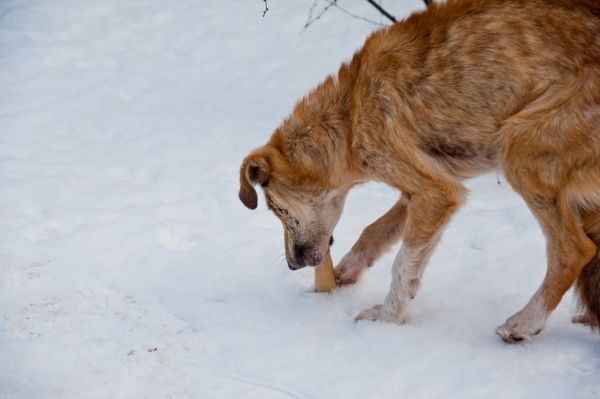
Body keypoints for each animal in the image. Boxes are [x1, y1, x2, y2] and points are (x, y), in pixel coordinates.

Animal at [238, 0, 600, 344]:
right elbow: (373, 232)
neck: (350, 115)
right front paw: (346, 272)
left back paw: (524, 323)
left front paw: (386, 320)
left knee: (574, 251)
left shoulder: (436, 193)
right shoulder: (432, 187)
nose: (291, 265)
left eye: (275, 208)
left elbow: (402, 265)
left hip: (519, 148)